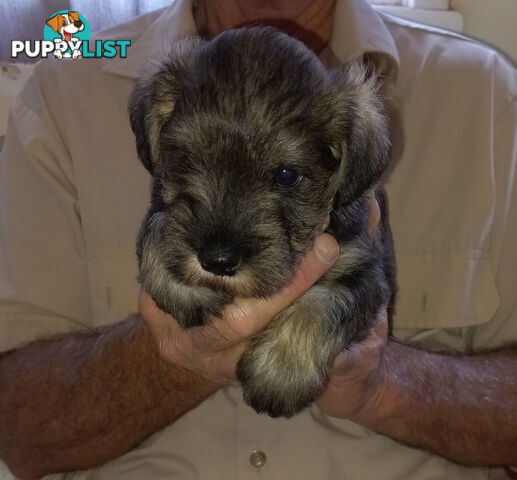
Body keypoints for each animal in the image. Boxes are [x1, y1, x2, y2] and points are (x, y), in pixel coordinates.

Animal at [129, 26, 396, 418]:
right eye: (187, 157)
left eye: (287, 175)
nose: (218, 260)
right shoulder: (162, 206)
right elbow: (156, 225)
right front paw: (179, 285)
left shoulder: (365, 271)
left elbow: (323, 304)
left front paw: (280, 374)